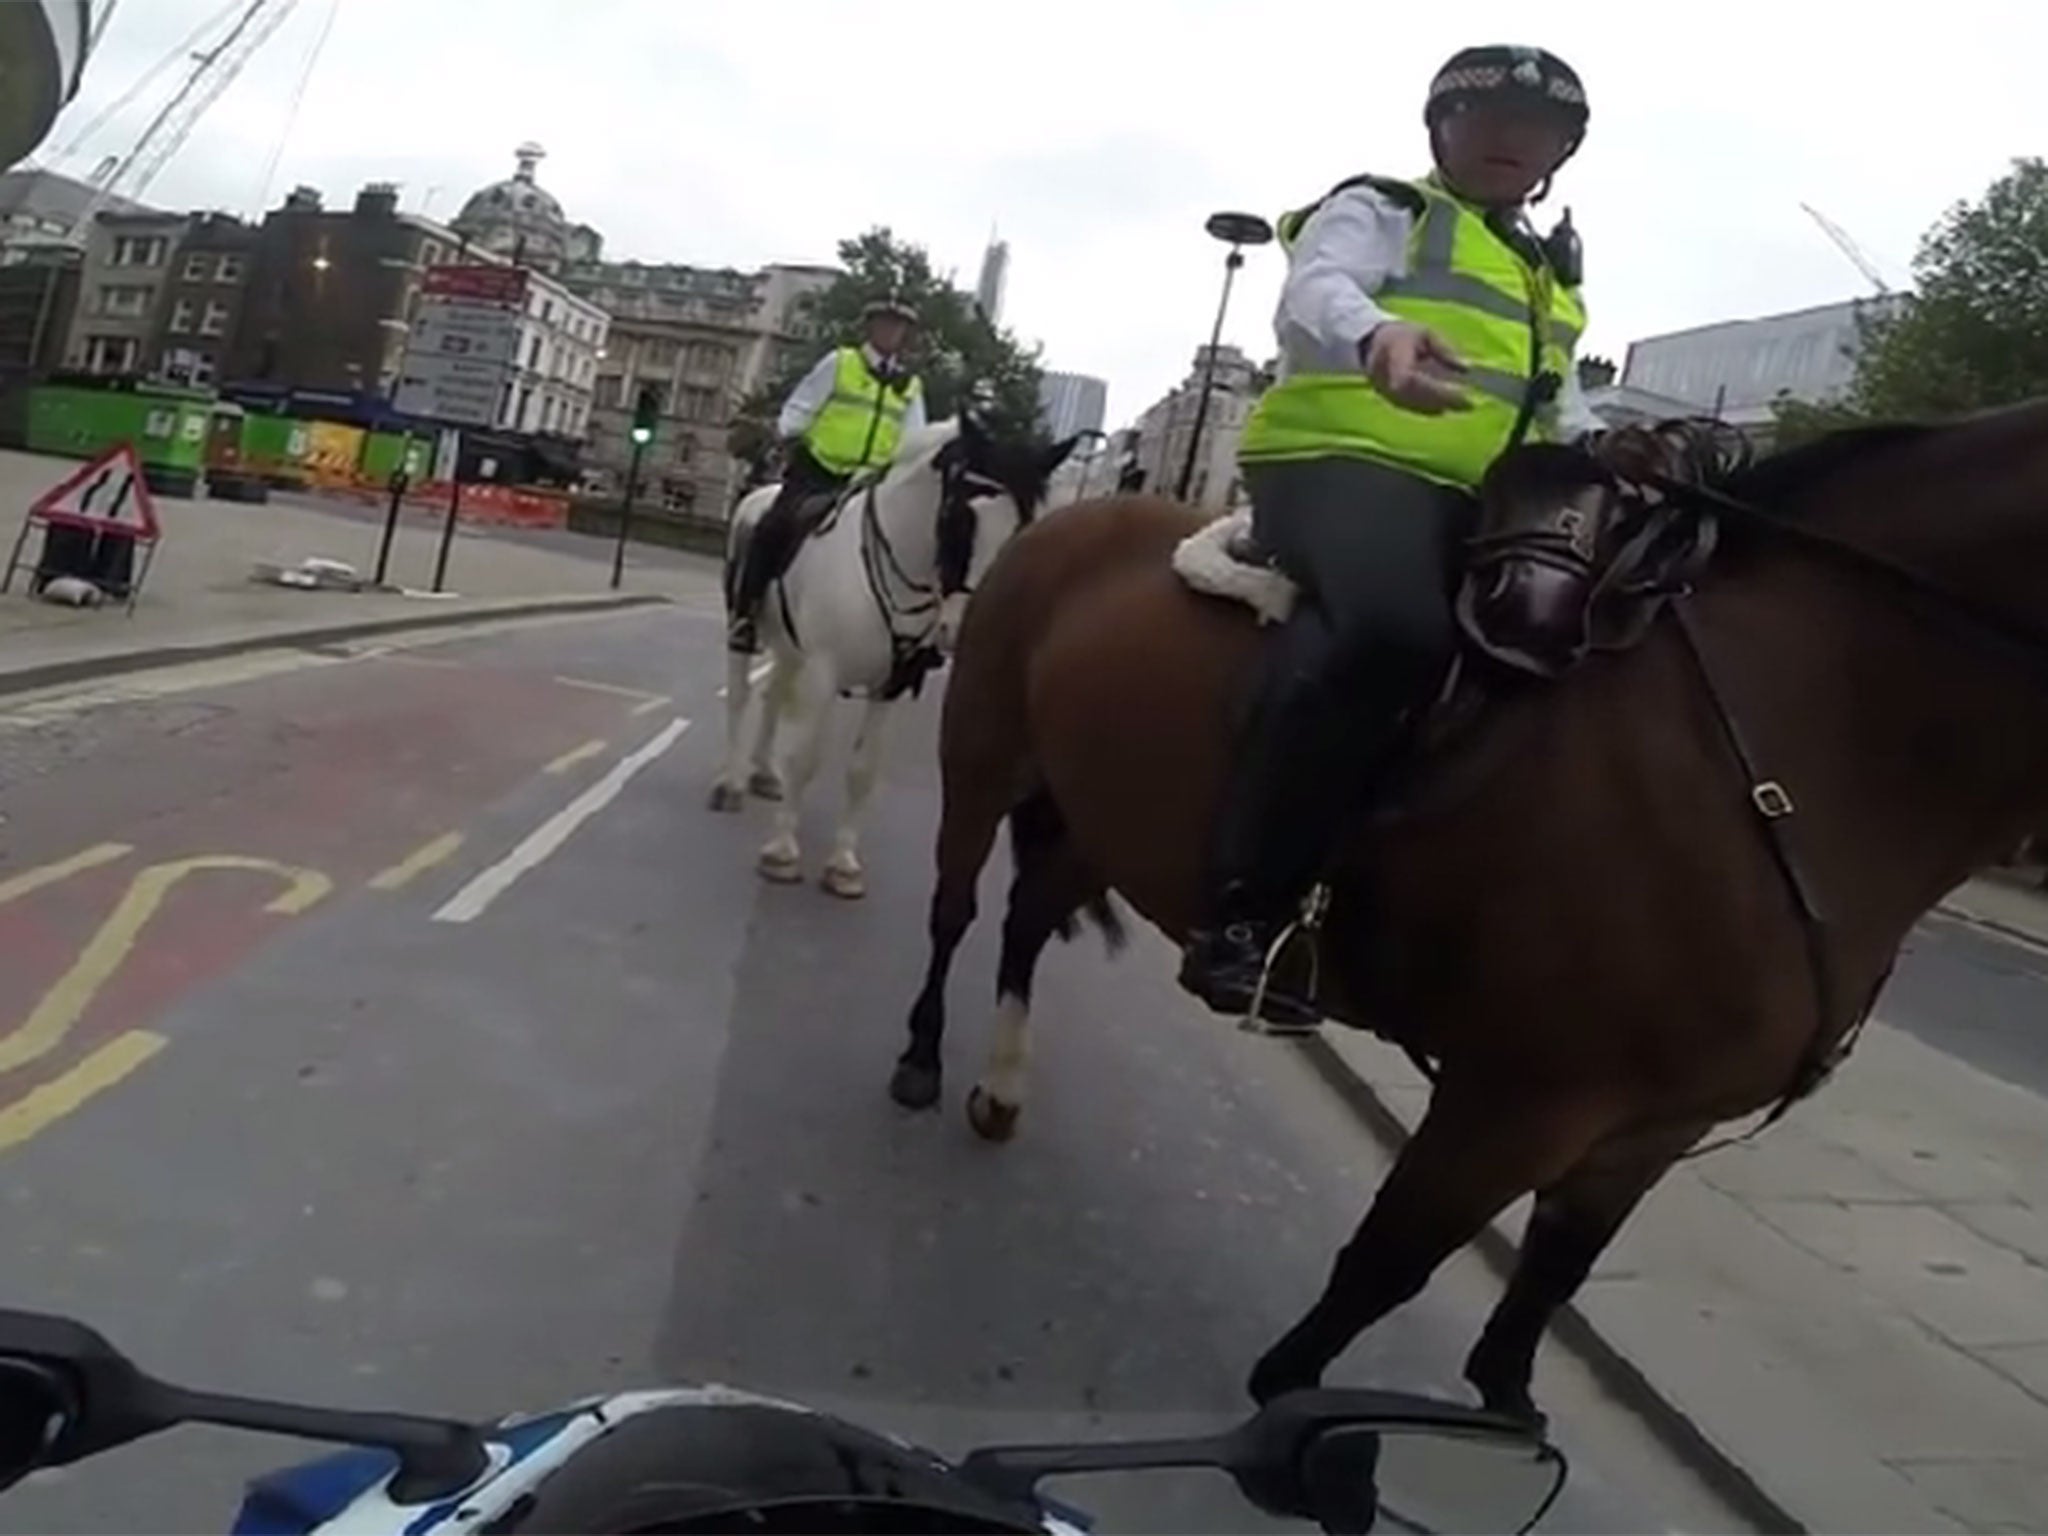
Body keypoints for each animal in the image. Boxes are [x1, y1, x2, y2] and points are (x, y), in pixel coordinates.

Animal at [712, 417, 1081, 901]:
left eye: (1023, 529)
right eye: (956, 517)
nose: (964, 627)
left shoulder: (891, 685)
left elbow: (863, 771)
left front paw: (843, 865)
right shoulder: (823, 671)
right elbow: (806, 758)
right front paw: (782, 851)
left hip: (792, 649)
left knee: (773, 696)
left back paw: (763, 773)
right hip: (744, 623)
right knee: (740, 695)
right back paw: (731, 782)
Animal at [892, 399, 2048, 1433]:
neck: (1788, 730)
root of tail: (1073, 522)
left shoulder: (1648, 1128)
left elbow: (1541, 1293)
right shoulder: (1515, 1101)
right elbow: (1380, 1271)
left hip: (1101, 806)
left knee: (1028, 918)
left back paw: (1000, 1085)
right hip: (984, 750)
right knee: (954, 909)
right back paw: (922, 1058)